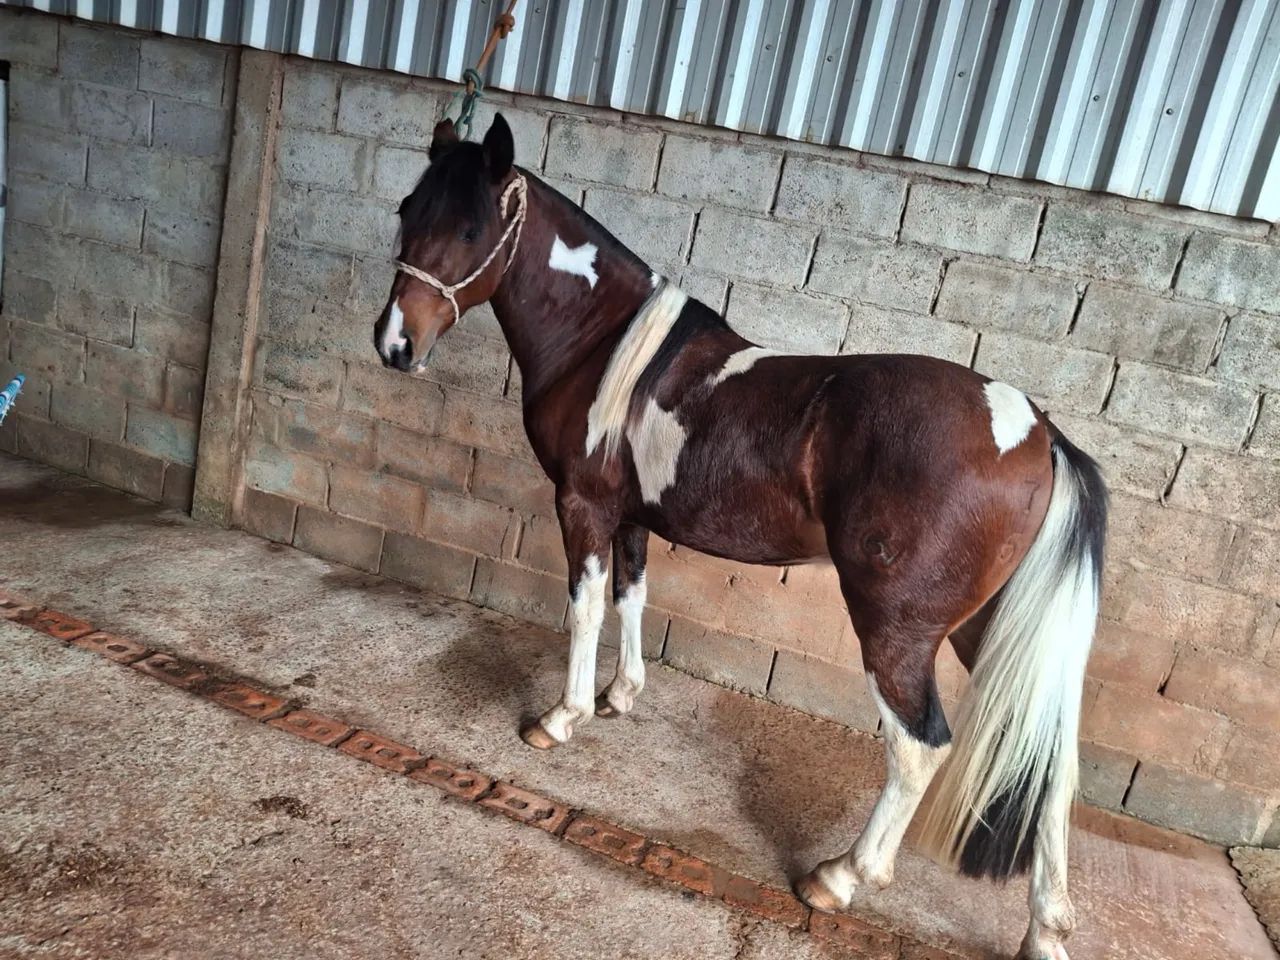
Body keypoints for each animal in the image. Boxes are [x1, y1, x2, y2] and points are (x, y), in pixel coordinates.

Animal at [374, 113, 1107, 960]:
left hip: (899, 629)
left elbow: (585, 608)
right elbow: (631, 598)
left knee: (920, 747)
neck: (606, 348)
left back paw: (840, 878)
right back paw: (1046, 929)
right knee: (1054, 764)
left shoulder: (583, 506)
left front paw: (561, 719)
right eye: (408, 208)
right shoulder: (632, 517)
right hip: (985, 627)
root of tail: (1039, 433)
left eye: (469, 227)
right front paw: (620, 696)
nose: (395, 345)